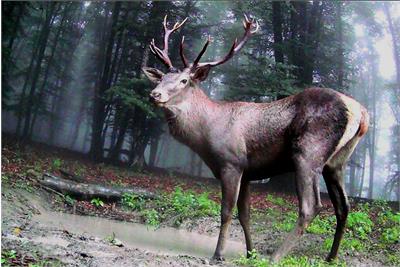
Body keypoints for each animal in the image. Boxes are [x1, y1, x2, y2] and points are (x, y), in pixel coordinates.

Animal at [143, 15, 368, 264]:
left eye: (184, 80)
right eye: (162, 78)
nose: (155, 94)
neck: (207, 133)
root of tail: (361, 112)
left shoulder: (232, 163)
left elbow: (226, 211)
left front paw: (218, 254)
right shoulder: (249, 172)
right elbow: (245, 215)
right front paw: (250, 253)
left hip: (309, 151)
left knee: (311, 206)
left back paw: (276, 257)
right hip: (336, 162)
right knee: (344, 206)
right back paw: (331, 257)